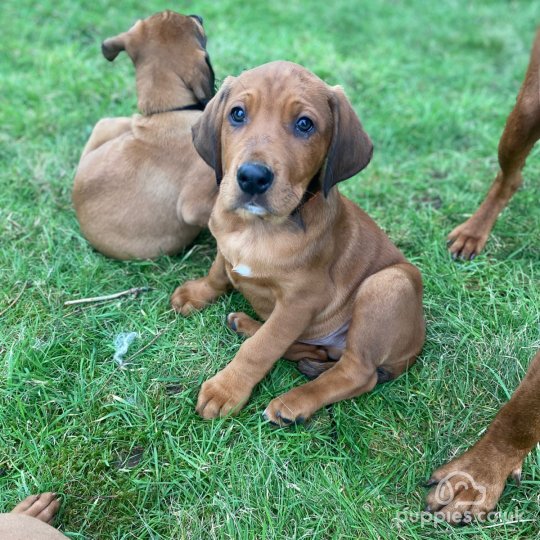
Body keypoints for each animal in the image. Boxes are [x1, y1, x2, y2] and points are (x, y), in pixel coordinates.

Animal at [171, 62, 424, 426]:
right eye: (237, 114)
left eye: (305, 124)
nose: (252, 177)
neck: (257, 228)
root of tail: (416, 345)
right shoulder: (225, 246)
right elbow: (219, 273)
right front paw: (196, 293)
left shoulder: (300, 302)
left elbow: (262, 348)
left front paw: (226, 389)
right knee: (309, 347)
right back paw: (247, 324)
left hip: (388, 284)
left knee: (357, 372)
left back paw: (294, 402)